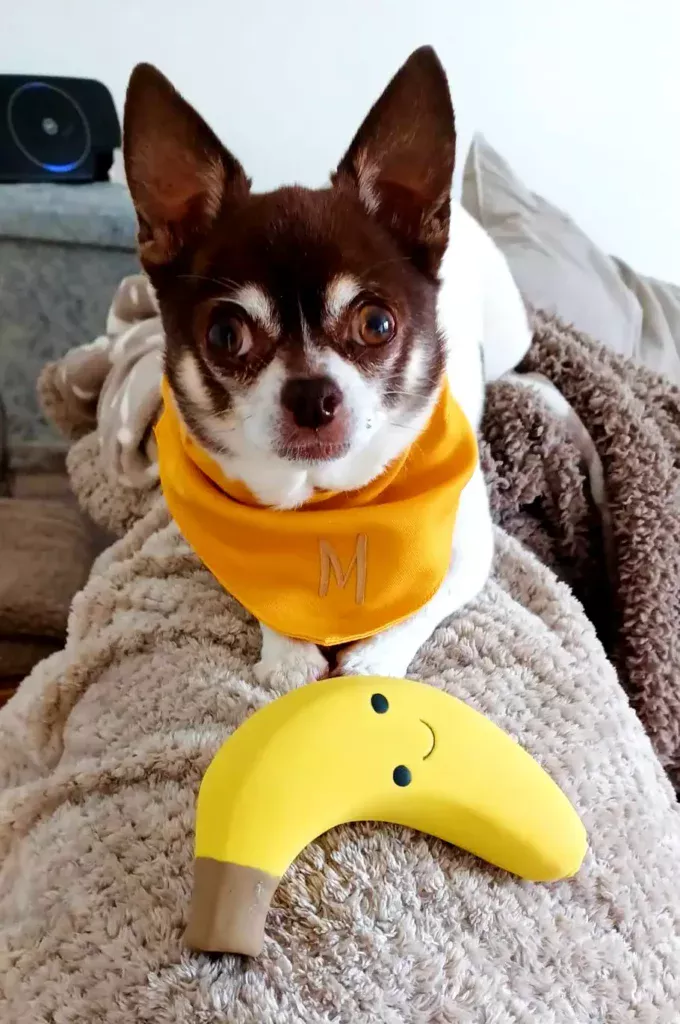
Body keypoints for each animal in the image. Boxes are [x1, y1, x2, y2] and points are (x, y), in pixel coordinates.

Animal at [124, 48, 532, 688]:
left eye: (377, 325)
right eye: (225, 336)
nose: (312, 396)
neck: (324, 506)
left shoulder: (469, 553)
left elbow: (424, 601)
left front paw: (373, 658)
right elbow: (258, 594)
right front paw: (288, 653)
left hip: (513, 331)